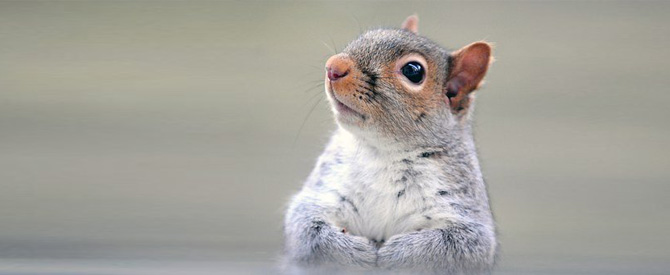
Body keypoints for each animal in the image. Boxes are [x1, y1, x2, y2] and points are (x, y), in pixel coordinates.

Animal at [284, 15, 498, 275]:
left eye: (413, 71)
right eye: (364, 36)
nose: (333, 66)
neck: (384, 152)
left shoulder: (465, 211)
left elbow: (459, 246)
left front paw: (399, 254)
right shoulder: (324, 190)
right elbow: (305, 228)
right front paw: (353, 252)